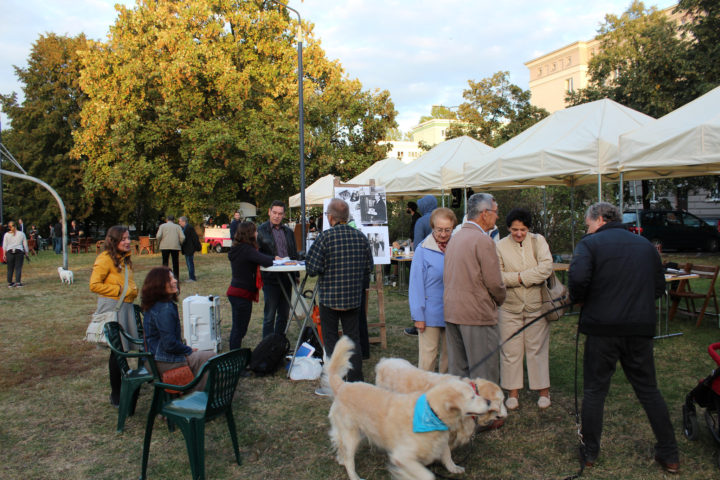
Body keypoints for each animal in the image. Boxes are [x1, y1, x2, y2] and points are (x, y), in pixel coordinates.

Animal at [325, 336, 489, 480]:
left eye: (475, 392)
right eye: (472, 397)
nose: (488, 401)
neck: (431, 413)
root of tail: (343, 385)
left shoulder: (439, 441)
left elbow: (447, 454)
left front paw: (454, 468)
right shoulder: (402, 456)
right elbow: (427, 475)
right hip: (351, 436)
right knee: (349, 461)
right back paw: (354, 476)